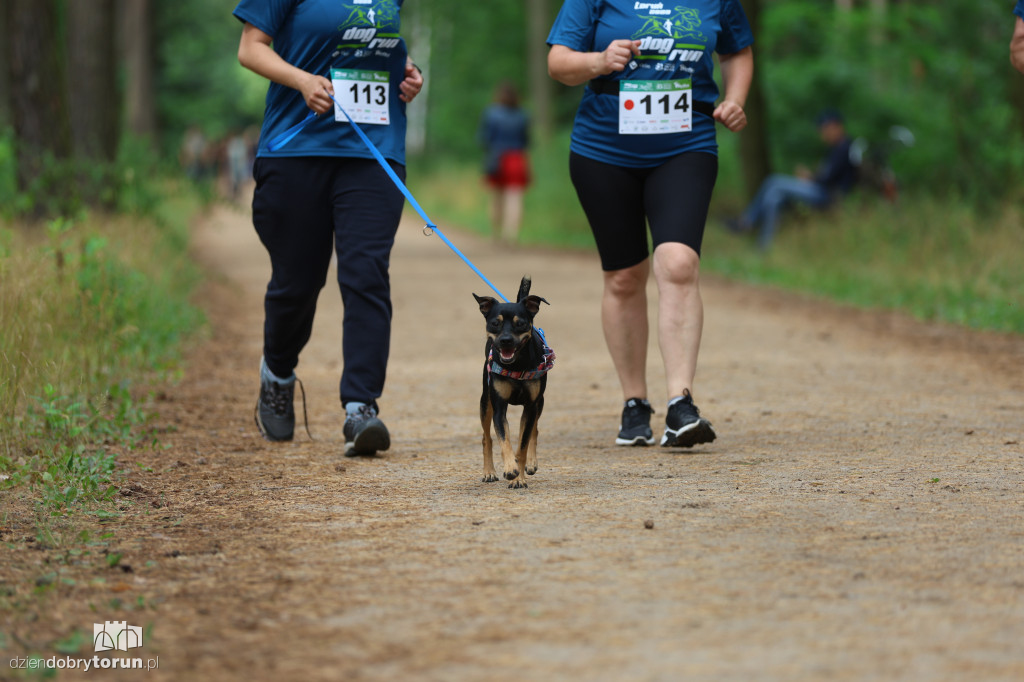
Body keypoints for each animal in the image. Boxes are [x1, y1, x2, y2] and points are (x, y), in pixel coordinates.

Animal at [471, 274, 552, 485]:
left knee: (534, 431)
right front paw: (510, 469)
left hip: (540, 402)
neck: (517, 365)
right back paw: (489, 472)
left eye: (520, 323)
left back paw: (531, 463)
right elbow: (504, 441)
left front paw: (519, 478)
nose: (506, 340)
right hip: (485, 402)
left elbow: (522, 445)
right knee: (486, 438)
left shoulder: (531, 405)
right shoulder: (499, 406)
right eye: (495, 323)